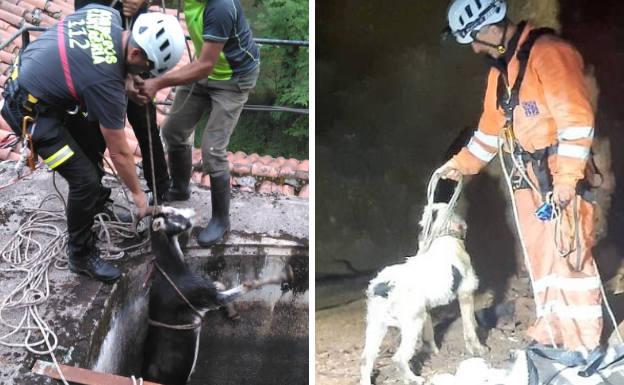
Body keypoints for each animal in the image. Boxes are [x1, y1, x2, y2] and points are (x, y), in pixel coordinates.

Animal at [141, 207, 288, 384]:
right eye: (172, 215)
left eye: (171, 209)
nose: (192, 210)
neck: (171, 270)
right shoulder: (204, 295)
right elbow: (246, 285)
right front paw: (279, 277)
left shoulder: (208, 290)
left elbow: (220, 284)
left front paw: (232, 313)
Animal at [360, 202, 488, 382]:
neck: (444, 237)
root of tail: (383, 286)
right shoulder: (466, 293)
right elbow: (470, 327)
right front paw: (478, 349)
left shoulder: (426, 309)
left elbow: (429, 334)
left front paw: (433, 351)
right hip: (412, 323)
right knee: (398, 358)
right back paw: (413, 379)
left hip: (377, 325)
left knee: (366, 359)